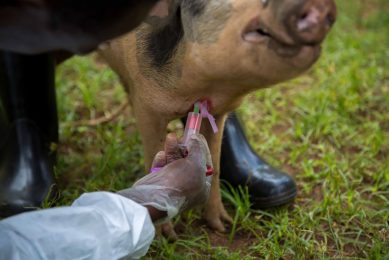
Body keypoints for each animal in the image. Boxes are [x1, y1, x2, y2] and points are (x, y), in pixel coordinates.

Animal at [99, 0, 334, 235]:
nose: (323, 6)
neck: (206, 89)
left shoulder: (218, 111)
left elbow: (216, 162)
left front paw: (223, 226)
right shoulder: (148, 107)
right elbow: (152, 158)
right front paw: (167, 236)